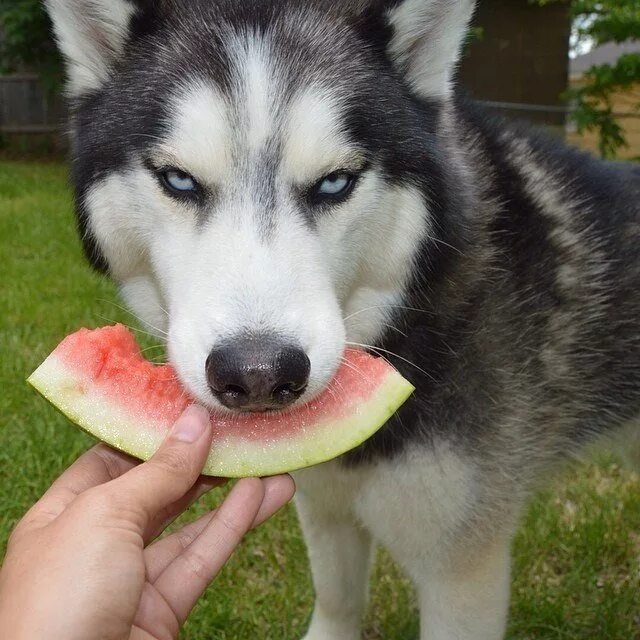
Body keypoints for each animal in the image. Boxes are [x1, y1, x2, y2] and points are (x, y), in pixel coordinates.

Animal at [46, 0, 640, 636]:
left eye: (335, 182)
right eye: (178, 180)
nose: (258, 373)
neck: (415, 326)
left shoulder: (463, 570)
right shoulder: (326, 505)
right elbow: (336, 602)